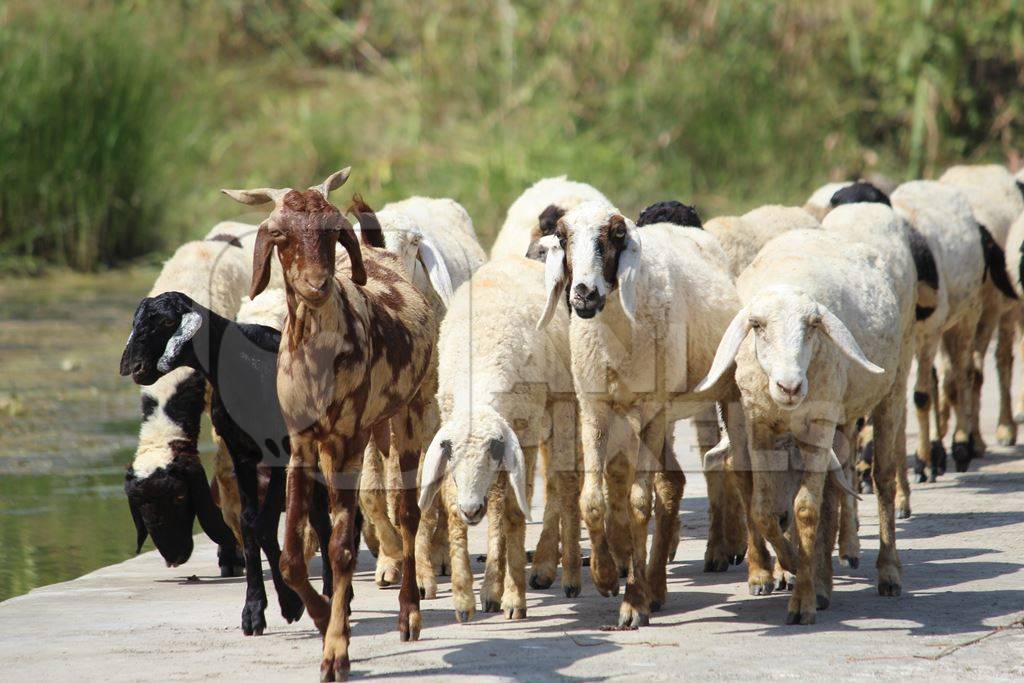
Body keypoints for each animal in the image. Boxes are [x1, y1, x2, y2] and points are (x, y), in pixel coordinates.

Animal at [224, 169, 436, 679]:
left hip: (410, 411)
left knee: (407, 512)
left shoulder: (349, 440)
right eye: (279, 234)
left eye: (332, 231)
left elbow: (341, 547)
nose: (317, 286)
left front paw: (337, 650)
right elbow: (291, 556)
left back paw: (409, 613)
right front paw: (321, 620)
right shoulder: (300, 443)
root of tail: (381, 252)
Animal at [415, 254, 577, 618]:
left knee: (562, 484)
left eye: (490, 451)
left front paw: (514, 598)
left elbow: (515, 513)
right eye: (450, 454)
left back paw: (565, 574)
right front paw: (464, 597)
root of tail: (514, 258)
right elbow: (453, 509)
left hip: (559, 404)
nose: (473, 508)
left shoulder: (524, 434)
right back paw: (491, 585)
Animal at [536, 201, 745, 626]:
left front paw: (633, 602)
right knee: (673, 483)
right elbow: (592, 500)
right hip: (659, 413)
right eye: (562, 238)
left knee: (731, 469)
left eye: (616, 236)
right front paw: (604, 577)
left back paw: (768, 572)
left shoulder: (650, 406)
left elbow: (637, 503)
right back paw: (657, 588)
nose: (583, 294)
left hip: (714, 393)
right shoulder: (594, 405)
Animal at [692, 200, 917, 622]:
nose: (790, 387)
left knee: (882, 478)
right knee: (830, 491)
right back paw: (821, 579)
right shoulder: (760, 426)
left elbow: (807, 510)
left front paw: (803, 598)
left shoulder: (817, 425)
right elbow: (764, 509)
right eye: (757, 326)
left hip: (890, 389)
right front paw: (791, 565)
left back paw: (887, 572)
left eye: (813, 325)